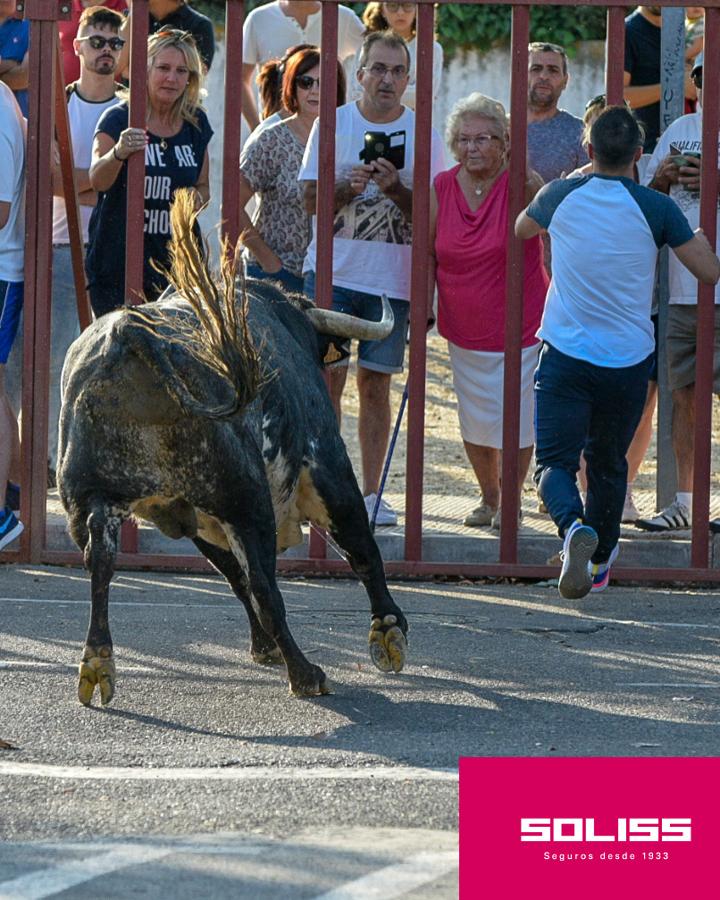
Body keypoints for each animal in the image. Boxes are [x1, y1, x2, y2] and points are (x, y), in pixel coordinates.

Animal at [59, 193, 408, 708]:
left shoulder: (190, 516)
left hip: (96, 499)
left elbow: (235, 577)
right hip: (244, 497)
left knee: (101, 563)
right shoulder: (327, 467)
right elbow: (360, 551)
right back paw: (306, 673)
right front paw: (387, 632)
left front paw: (264, 647)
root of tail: (131, 332)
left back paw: (97, 663)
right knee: (267, 585)